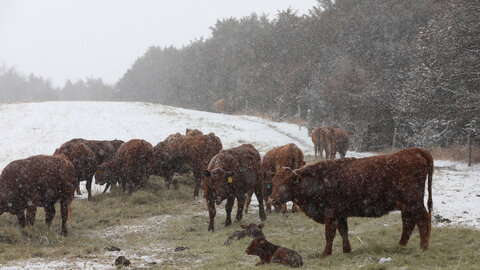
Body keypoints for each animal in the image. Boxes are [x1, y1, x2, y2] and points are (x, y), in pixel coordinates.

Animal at [270, 148, 436, 258]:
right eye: (274, 182)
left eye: (285, 183)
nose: (271, 199)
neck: (318, 180)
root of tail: (415, 152)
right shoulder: (341, 215)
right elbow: (343, 231)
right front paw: (347, 250)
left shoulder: (330, 215)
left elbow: (329, 235)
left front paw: (325, 254)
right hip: (406, 206)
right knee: (409, 223)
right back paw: (401, 245)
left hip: (414, 203)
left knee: (422, 220)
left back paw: (423, 247)